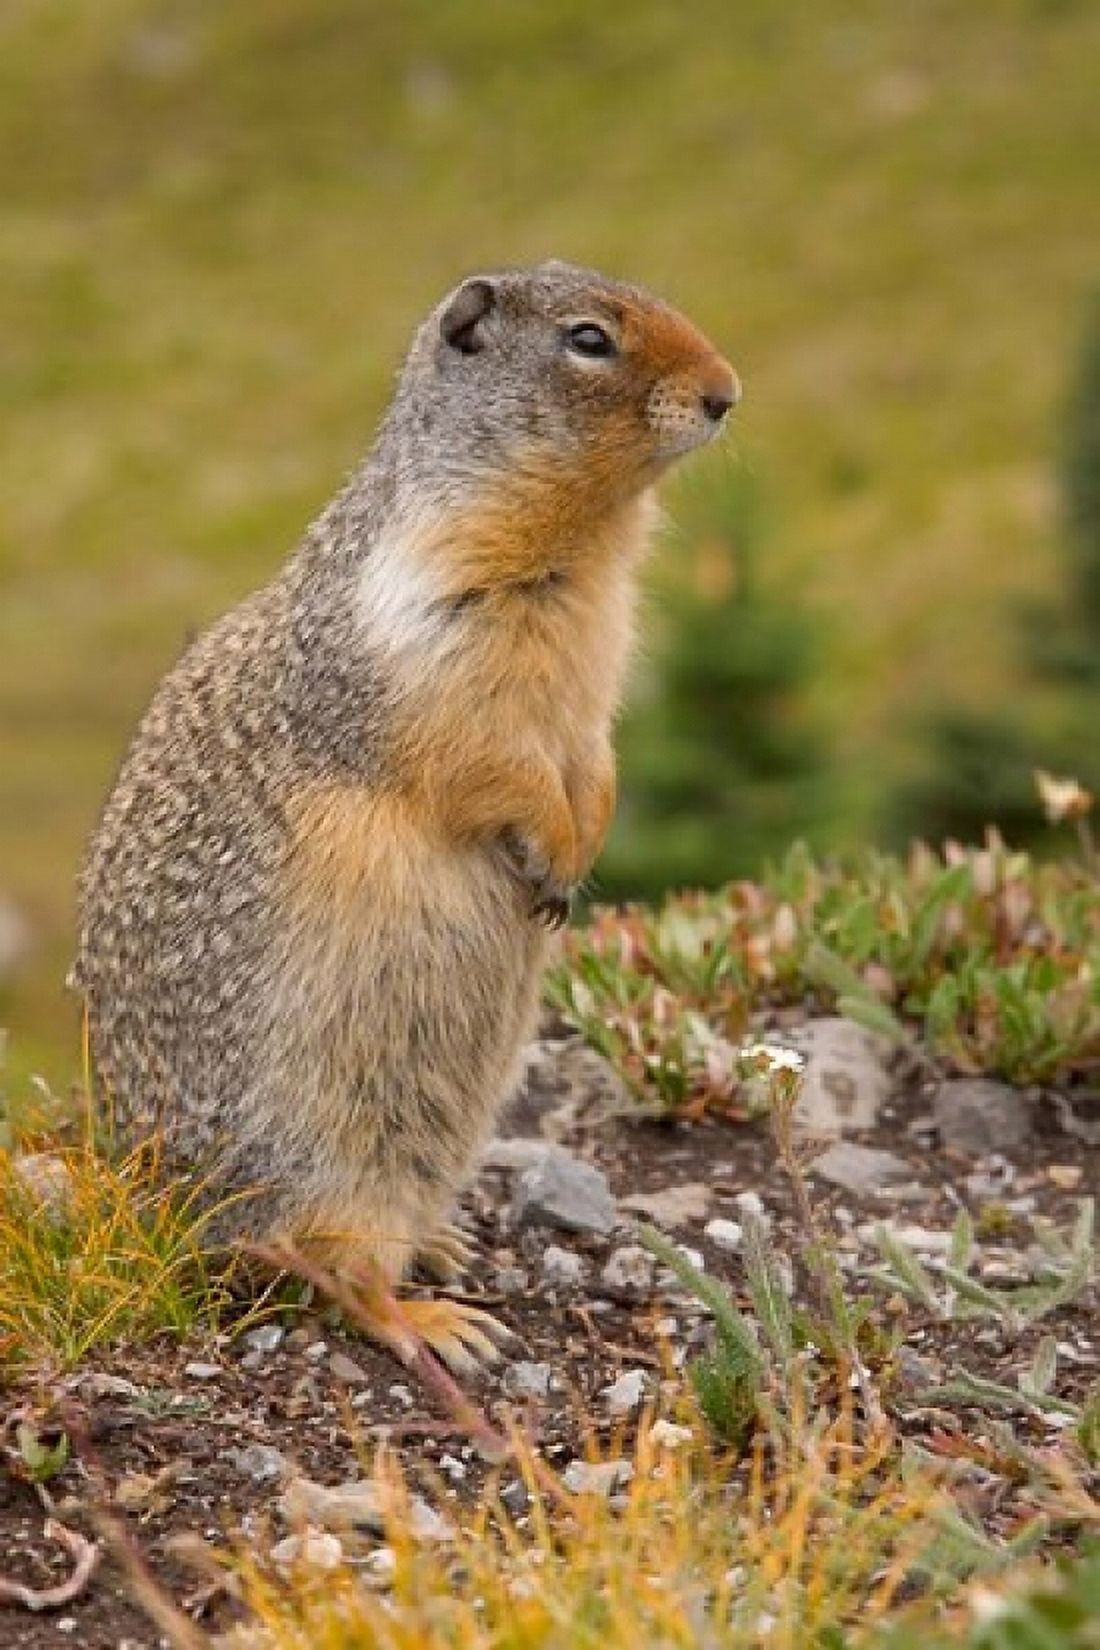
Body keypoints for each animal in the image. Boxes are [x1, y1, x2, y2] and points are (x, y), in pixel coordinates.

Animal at [72, 261, 738, 1369]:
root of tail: (164, 1216)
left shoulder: (591, 680)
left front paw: (581, 840)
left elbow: (593, 757)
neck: (584, 546)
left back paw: (443, 1242)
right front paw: (552, 851)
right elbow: (485, 761)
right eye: (588, 339)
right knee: (340, 1277)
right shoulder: (430, 638)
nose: (727, 393)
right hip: (328, 1157)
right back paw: (436, 1321)